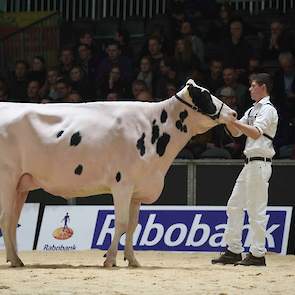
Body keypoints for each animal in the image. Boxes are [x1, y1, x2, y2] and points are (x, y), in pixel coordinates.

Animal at [0, 80, 237, 268]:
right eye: (205, 95)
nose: (234, 113)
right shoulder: (122, 184)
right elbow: (121, 223)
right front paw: (111, 259)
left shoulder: (137, 190)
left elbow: (132, 226)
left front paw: (132, 260)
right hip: (7, 178)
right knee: (5, 218)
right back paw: (15, 260)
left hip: (21, 184)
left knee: (12, 220)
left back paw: (15, 258)